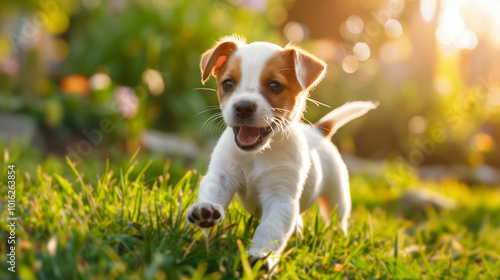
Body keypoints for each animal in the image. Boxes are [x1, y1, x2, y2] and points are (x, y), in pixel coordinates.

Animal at [188, 35, 378, 272]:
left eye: (275, 86)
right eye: (228, 84)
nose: (243, 107)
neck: (256, 155)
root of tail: (318, 131)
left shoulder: (281, 198)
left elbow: (270, 229)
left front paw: (260, 257)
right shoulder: (221, 175)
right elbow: (212, 191)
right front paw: (206, 210)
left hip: (337, 197)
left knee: (338, 221)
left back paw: (336, 240)